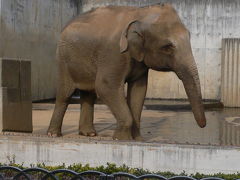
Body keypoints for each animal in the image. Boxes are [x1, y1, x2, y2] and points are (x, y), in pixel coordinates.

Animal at [47, 3, 206, 141]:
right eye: (167, 47)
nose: (203, 126)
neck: (140, 13)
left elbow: (138, 91)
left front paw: (138, 140)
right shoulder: (114, 53)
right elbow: (105, 87)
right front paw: (121, 139)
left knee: (89, 94)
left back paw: (89, 134)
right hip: (63, 61)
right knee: (65, 94)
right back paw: (54, 135)